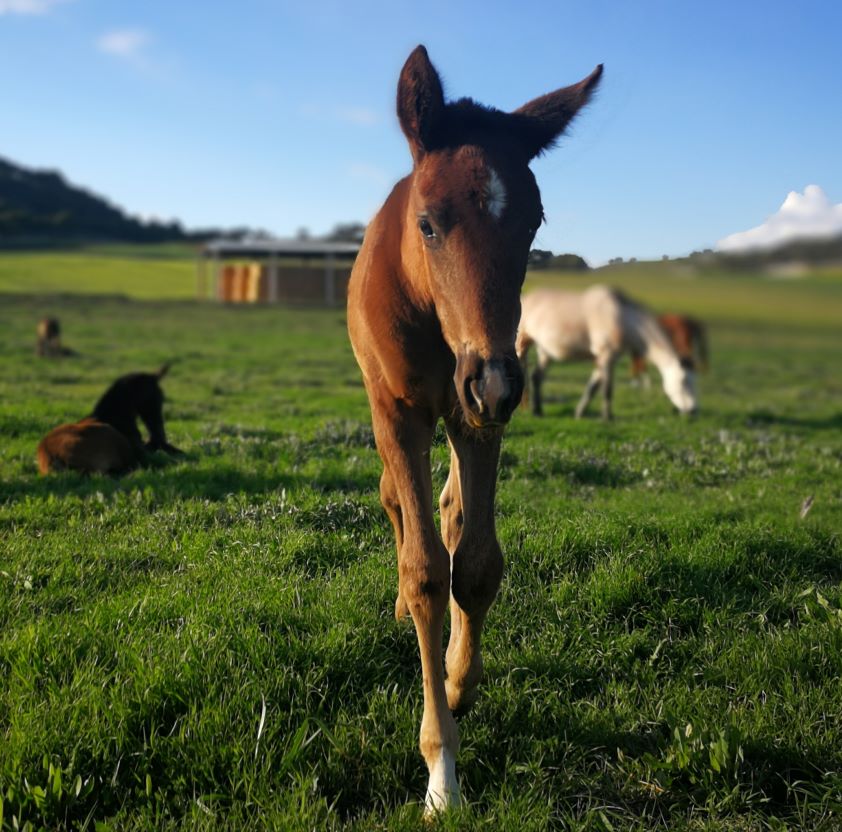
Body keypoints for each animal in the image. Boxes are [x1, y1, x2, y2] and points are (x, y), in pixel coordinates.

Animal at [344, 45, 600, 812]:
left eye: (534, 223)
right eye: (428, 222)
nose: (497, 382)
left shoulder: (474, 418)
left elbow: (477, 562)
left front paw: (458, 684)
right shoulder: (401, 412)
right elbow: (426, 570)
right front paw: (441, 773)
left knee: (453, 512)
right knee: (398, 506)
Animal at [516, 286, 700, 420]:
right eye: (683, 381)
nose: (693, 410)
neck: (620, 317)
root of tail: (526, 298)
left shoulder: (604, 359)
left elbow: (592, 387)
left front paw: (579, 414)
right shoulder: (606, 356)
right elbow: (607, 389)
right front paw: (607, 418)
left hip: (546, 352)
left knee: (537, 377)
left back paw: (538, 411)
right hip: (521, 344)